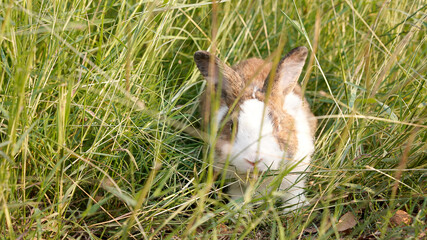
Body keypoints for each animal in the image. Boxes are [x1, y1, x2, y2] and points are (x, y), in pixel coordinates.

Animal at [194, 46, 318, 212]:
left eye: (278, 125)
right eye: (231, 126)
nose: (254, 160)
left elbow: (294, 193)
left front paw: (294, 210)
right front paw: (239, 212)